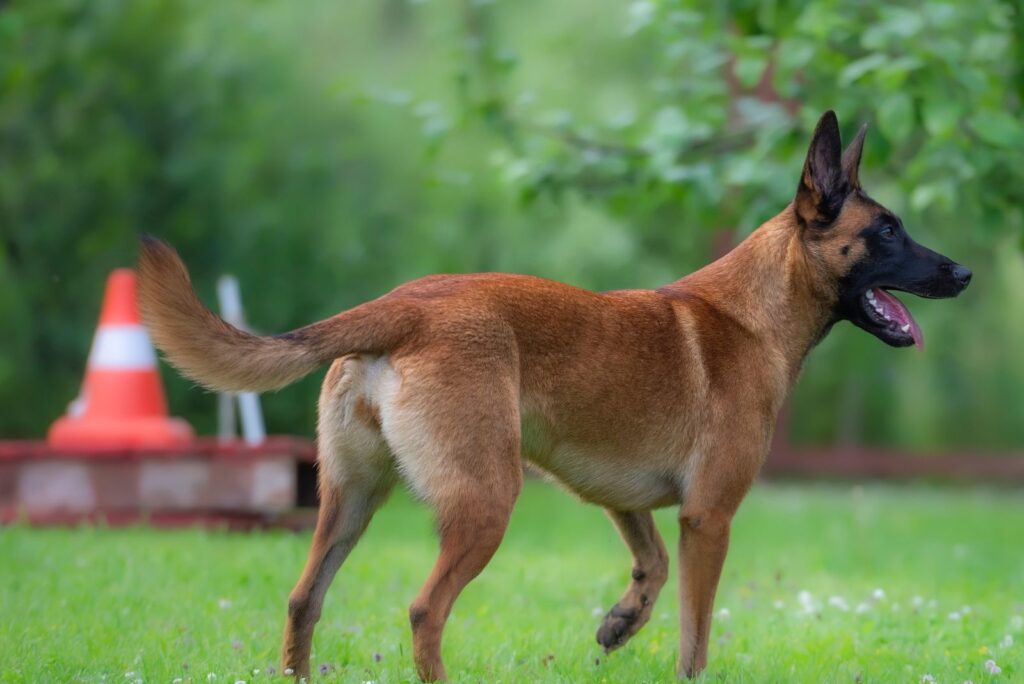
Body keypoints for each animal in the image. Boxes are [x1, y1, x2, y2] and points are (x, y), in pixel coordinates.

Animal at [136, 112, 966, 679]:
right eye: (887, 232)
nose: (962, 274)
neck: (753, 311)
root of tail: (400, 306)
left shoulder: (624, 499)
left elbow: (651, 570)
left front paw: (618, 624)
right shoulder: (709, 518)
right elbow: (695, 637)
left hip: (351, 498)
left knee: (304, 600)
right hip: (483, 500)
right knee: (425, 609)